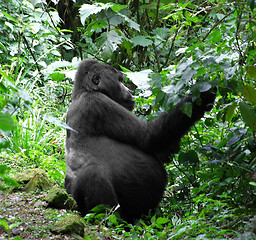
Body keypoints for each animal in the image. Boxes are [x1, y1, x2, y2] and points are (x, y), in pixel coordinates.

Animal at [64, 59, 216, 222]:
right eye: (119, 81)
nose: (129, 90)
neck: (83, 91)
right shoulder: (97, 102)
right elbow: (148, 136)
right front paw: (201, 98)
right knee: (92, 174)